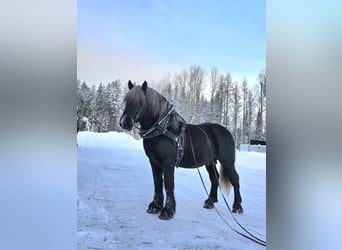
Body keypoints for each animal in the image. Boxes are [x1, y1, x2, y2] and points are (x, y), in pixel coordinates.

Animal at [120, 81, 243, 220]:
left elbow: (168, 184)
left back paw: (237, 206)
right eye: (126, 101)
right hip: (209, 162)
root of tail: (226, 131)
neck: (163, 130)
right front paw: (155, 206)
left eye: (140, 102)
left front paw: (168, 211)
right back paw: (210, 201)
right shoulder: (154, 162)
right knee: (214, 178)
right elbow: (157, 183)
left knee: (235, 179)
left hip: (227, 162)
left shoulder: (168, 163)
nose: (124, 122)